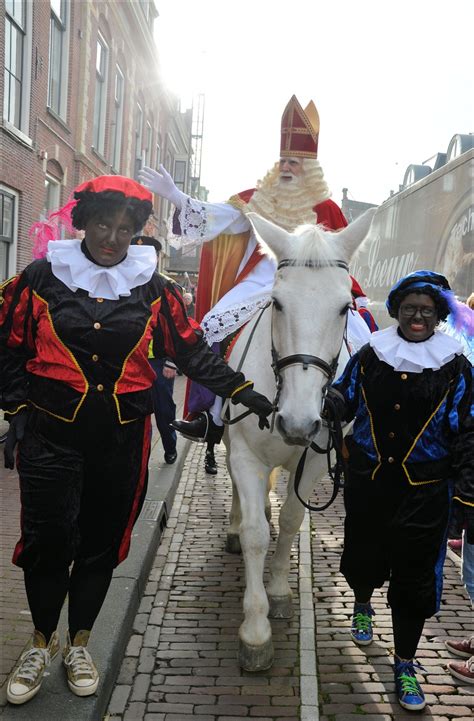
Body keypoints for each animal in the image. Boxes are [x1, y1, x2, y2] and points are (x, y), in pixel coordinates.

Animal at [221, 207, 374, 668]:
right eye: (278, 302)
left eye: (344, 307)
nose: (298, 423)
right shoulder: (246, 457)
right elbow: (255, 534)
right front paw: (255, 630)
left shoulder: (316, 464)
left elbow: (290, 519)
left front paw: (278, 591)